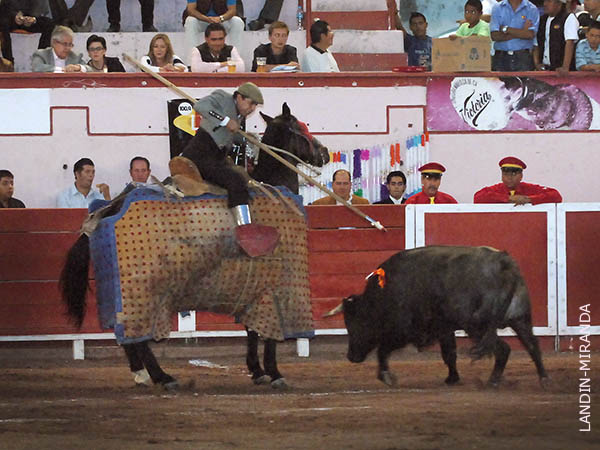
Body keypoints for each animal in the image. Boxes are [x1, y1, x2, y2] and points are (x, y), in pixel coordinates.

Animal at [59, 103, 330, 388]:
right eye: (301, 127)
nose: (324, 153)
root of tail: (111, 207)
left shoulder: (252, 290)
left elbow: (251, 330)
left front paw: (257, 370)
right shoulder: (274, 288)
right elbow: (268, 335)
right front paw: (274, 372)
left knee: (127, 337)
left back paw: (141, 373)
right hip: (143, 290)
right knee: (140, 337)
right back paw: (162, 376)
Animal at [328, 246, 548, 386]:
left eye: (356, 324)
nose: (351, 356)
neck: (385, 293)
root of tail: (505, 265)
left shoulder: (406, 332)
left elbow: (382, 350)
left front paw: (386, 377)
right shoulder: (444, 328)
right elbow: (449, 353)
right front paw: (452, 378)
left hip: (478, 326)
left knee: (504, 349)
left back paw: (493, 381)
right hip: (520, 319)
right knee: (532, 345)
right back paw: (544, 378)